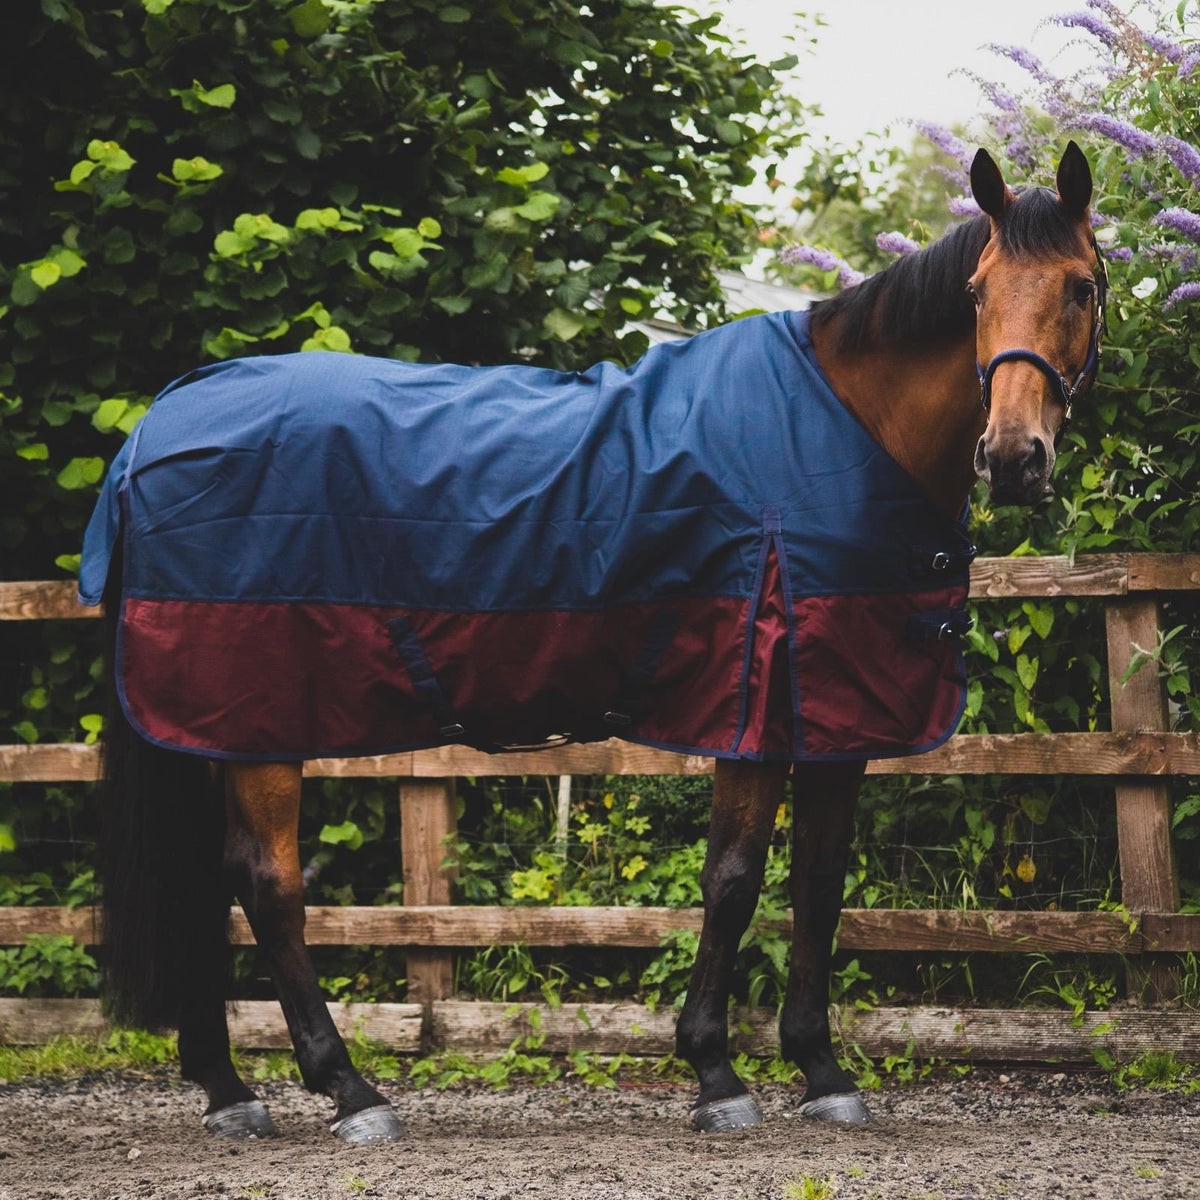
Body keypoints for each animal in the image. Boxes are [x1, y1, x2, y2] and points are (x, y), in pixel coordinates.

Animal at [82, 143, 1106, 1142]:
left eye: (1081, 287)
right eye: (975, 291)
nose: (1013, 457)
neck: (846, 427)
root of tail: (158, 424)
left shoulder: (833, 718)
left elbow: (818, 886)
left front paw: (821, 1071)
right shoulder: (752, 707)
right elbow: (734, 882)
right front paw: (715, 1073)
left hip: (210, 724)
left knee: (202, 888)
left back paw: (227, 1092)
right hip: (260, 718)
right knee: (268, 886)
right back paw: (350, 1091)